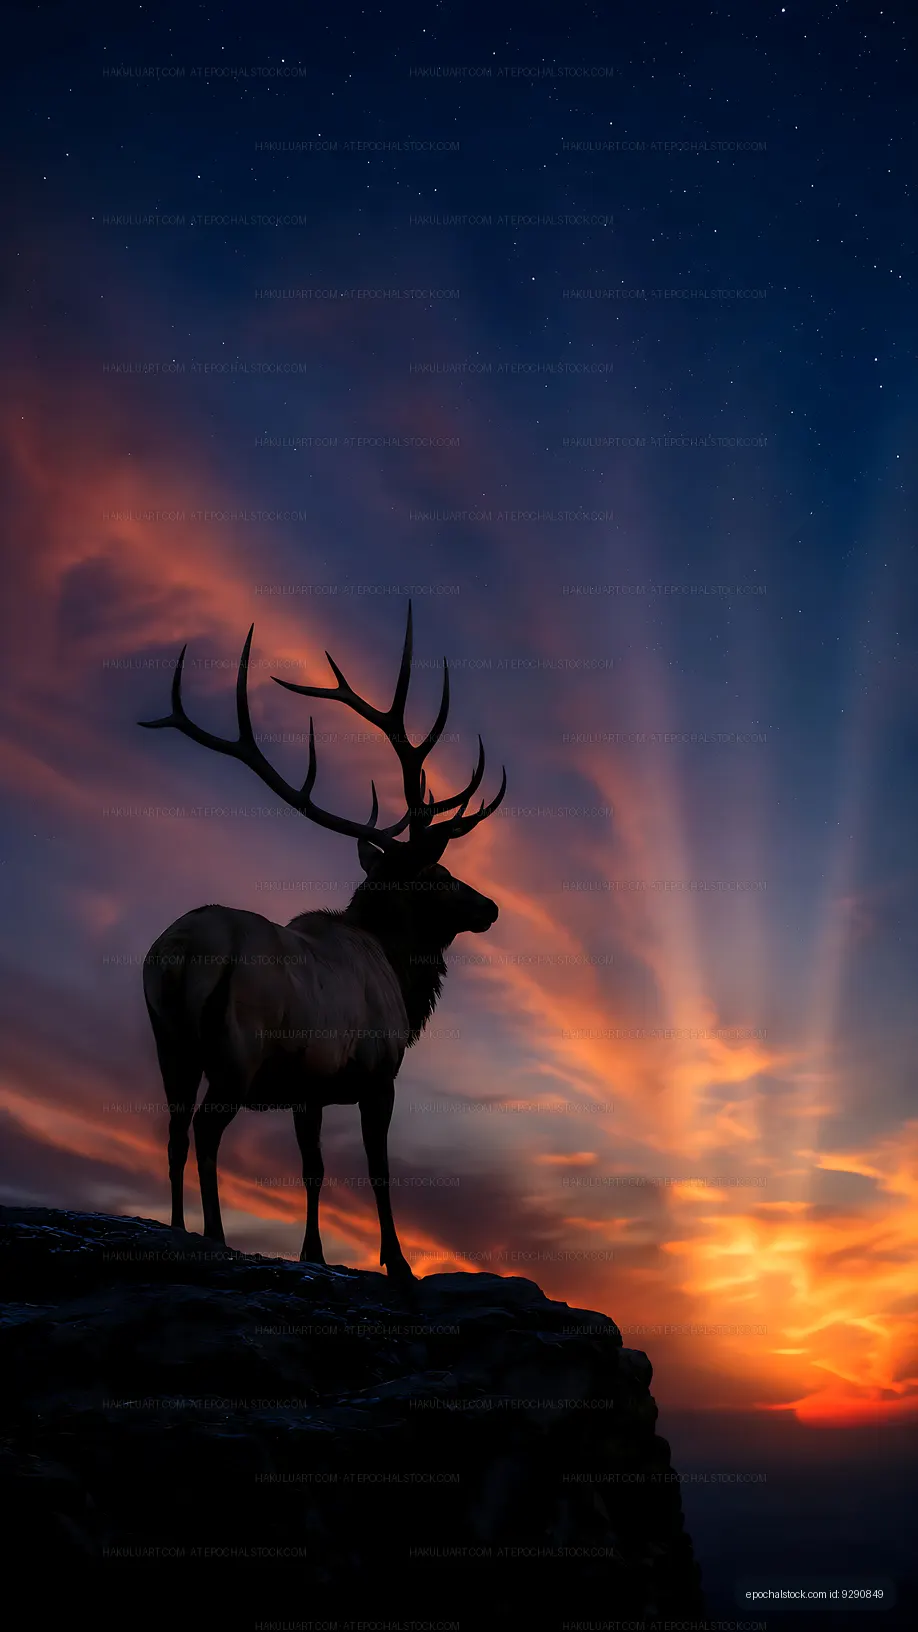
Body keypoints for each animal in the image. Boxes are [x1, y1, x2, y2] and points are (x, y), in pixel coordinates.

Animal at [140, 602, 505, 1282]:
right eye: (440, 875)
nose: (490, 907)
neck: (401, 976)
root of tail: (177, 955)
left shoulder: (305, 1088)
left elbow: (313, 1170)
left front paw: (313, 1253)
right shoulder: (378, 1074)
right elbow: (378, 1172)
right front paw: (398, 1264)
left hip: (169, 1043)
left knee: (173, 1130)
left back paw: (176, 1229)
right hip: (235, 1051)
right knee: (205, 1131)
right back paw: (215, 1235)